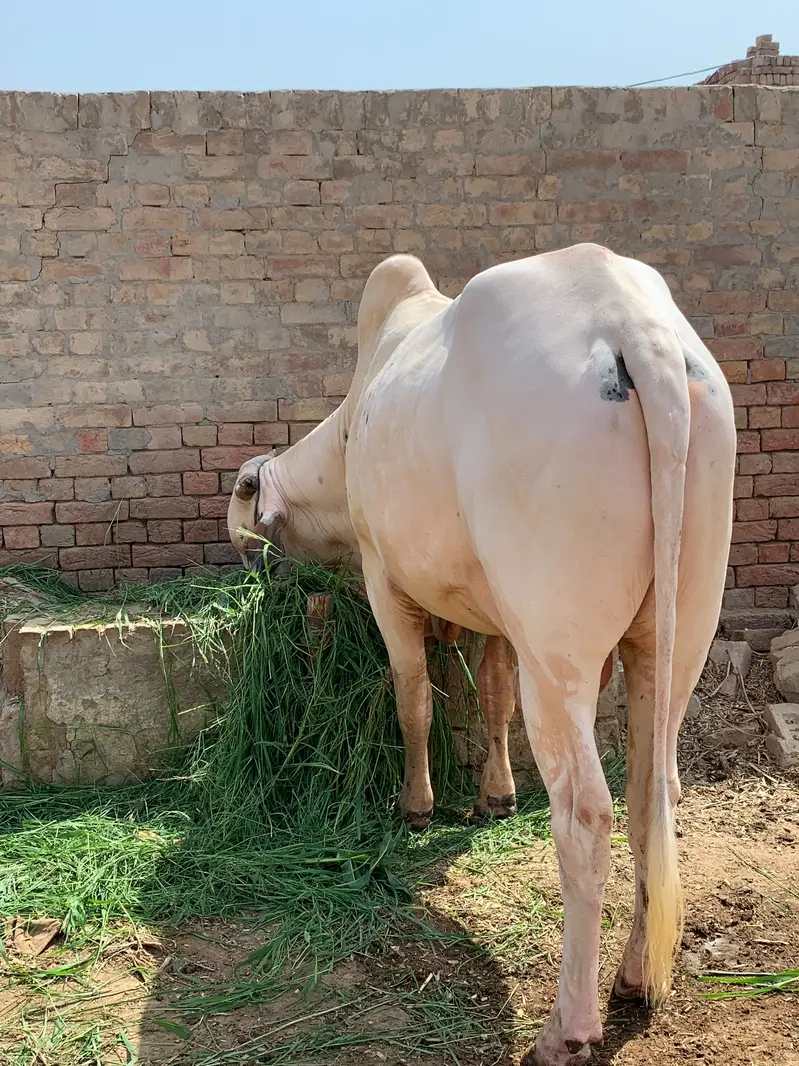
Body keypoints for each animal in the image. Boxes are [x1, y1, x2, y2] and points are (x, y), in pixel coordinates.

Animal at [227, 245, 736, 1066]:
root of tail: (638, 330)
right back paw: (635, 979)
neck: (350, 428)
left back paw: (568, 1028)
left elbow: (413, 698)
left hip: (557, 650)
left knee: (585, 813)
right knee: (652, 791)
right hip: (678, 634)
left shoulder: (384, 577)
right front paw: (493, 794)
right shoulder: (497, 618)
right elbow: (490, 695)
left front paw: (416, 806)